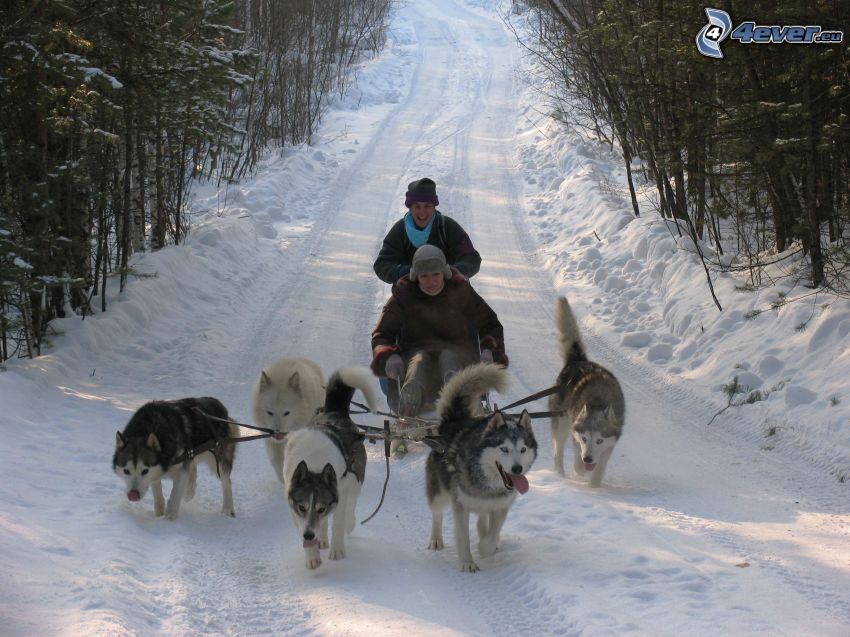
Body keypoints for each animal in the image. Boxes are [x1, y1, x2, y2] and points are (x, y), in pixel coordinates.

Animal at [282, 366, 374, 568]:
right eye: (302, 507)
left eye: (321, 508)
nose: (309, 535)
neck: (314, 463)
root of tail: (335, 412)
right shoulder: (292, 504)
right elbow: (303, 524)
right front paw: (312, 555)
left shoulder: (342, 488)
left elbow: (338, 521)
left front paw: (337, 550)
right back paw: (322, 539)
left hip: (356, 478)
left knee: (351, 504)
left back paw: (349, 523)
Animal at [424, 362, 536, 572]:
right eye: (504, 449)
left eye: (523, 449)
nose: (517, 469)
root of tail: (452, 422)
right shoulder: (460, 505)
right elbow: (463, 537)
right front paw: (468, 562)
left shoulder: (501, 506)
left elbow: (493, 533)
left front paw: (485, 547)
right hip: (440, 494)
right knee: (436, 513)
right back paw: (436, 539)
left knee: (482, 518)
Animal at [548, 296, 624, 486]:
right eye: (584, 439)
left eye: (599, 440)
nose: (588, 459)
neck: (598, 399)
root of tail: (578, 361)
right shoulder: (576, 435)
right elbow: (577, 460)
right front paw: (581, 470)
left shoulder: (609, 444)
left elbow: (601, 465)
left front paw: (595, 484)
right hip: (561, 423)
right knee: (558, 451)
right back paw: (560, 474)